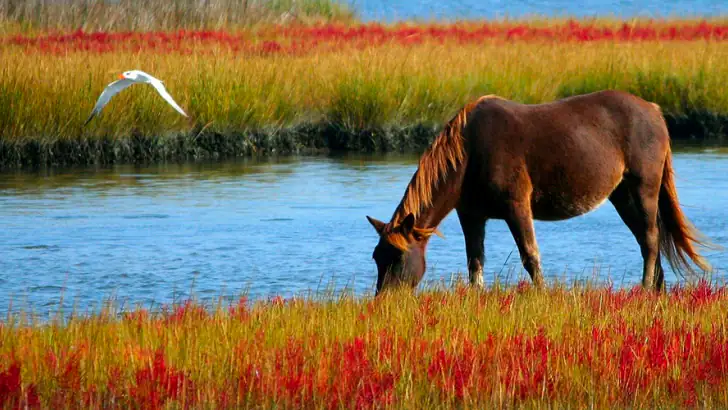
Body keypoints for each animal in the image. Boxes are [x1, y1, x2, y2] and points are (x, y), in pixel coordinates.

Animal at [366, 90, 712, 295]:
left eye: (398, 257)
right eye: (376, 257)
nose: (384, 301)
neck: (469, 152)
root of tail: (654, 111)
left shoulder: (517, 206)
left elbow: (530, 256)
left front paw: (542, 295)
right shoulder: (472, 215)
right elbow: (475, 262)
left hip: (643, 188)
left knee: (651, 240)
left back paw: (644, 288)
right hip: (622, 195)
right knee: (646, 239)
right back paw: (656, 289)